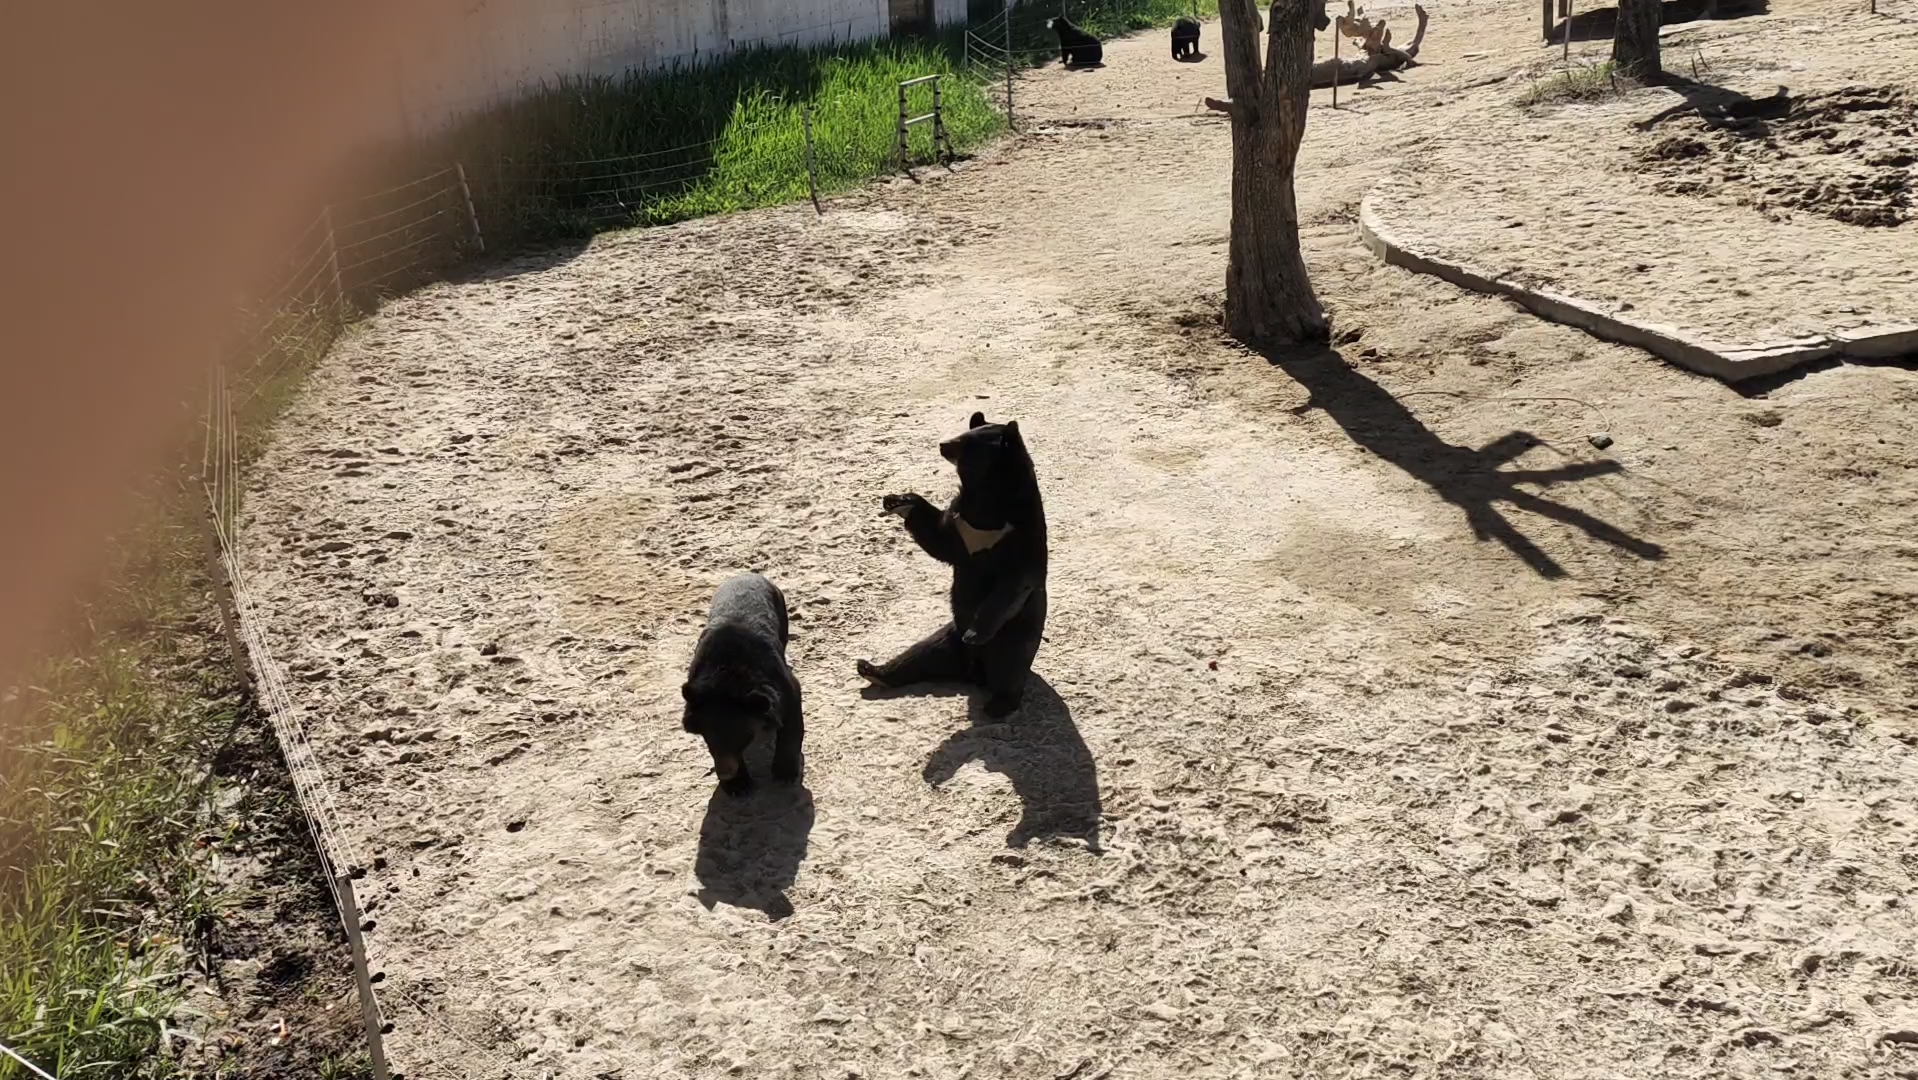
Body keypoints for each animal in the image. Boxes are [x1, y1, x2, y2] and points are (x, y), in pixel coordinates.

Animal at [682, 575, 801, 794]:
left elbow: (791, 718)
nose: (725, 773)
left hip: (782, 610)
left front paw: (784, 774)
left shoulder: (780, 682)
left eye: (740, 739)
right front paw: (738, 786)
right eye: (707, 738)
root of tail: (747, 574)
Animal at [859, 412, 1051, 717]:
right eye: (962, 434)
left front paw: (975, 633)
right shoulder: (961, 522)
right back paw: (871, 669)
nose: (942, 444)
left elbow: (1013, 582)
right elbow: (940, 540)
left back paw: (998, 704)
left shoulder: (1018, 532)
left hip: (1014, 635)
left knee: (1007, 668)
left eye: (965, 443)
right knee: (918, 655)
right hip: (947, 637)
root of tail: (973, 671)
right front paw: (898, 500)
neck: (987, 492)